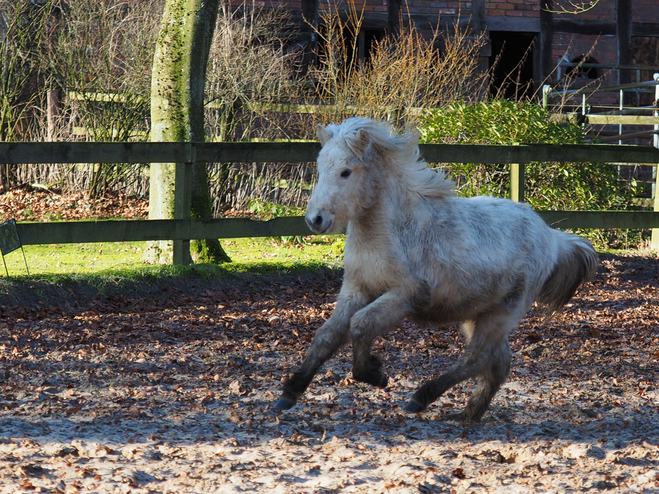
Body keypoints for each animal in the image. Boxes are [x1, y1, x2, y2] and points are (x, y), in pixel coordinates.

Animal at [274, 117, 600, 422]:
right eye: (319, 169)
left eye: (346, 171)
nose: (315, 220)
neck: (390, 233)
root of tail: (553, 238)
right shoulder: (356, 290)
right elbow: (327, 335)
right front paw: (289, 393)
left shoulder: (404, 296)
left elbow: (361, 325)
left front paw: (375, 374)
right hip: (479, 314)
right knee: (498, 362)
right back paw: (469, 413)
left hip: (503, 313)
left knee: (476, 359)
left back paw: (421, 398)